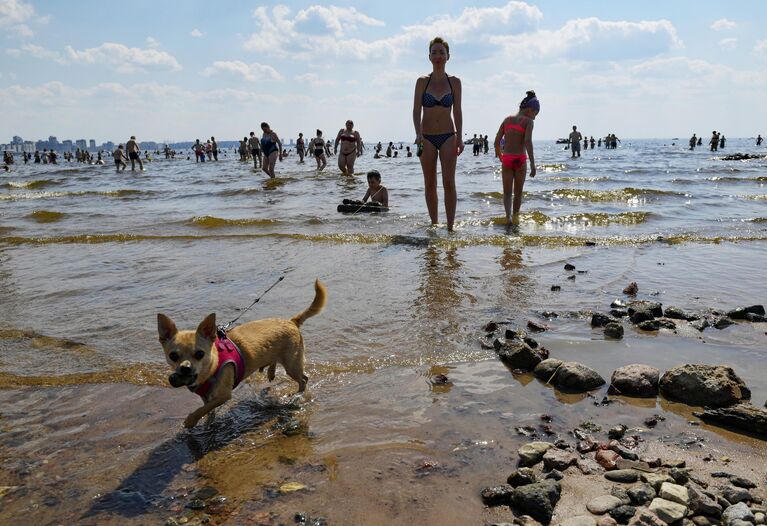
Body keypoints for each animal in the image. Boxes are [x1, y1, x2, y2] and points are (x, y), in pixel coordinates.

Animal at [158, 280, 326, 428]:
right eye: (173, 356)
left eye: (200, 354)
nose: (185, 368)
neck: (213, 365)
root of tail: (291, 321)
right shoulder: (206, 396)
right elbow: (207, 409)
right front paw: (208, 423)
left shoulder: (224, 395)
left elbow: (203, 409)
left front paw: (191, 420)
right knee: (276, 361)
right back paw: (271, 372)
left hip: (292, 366)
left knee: (303, 380)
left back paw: (298, 395)